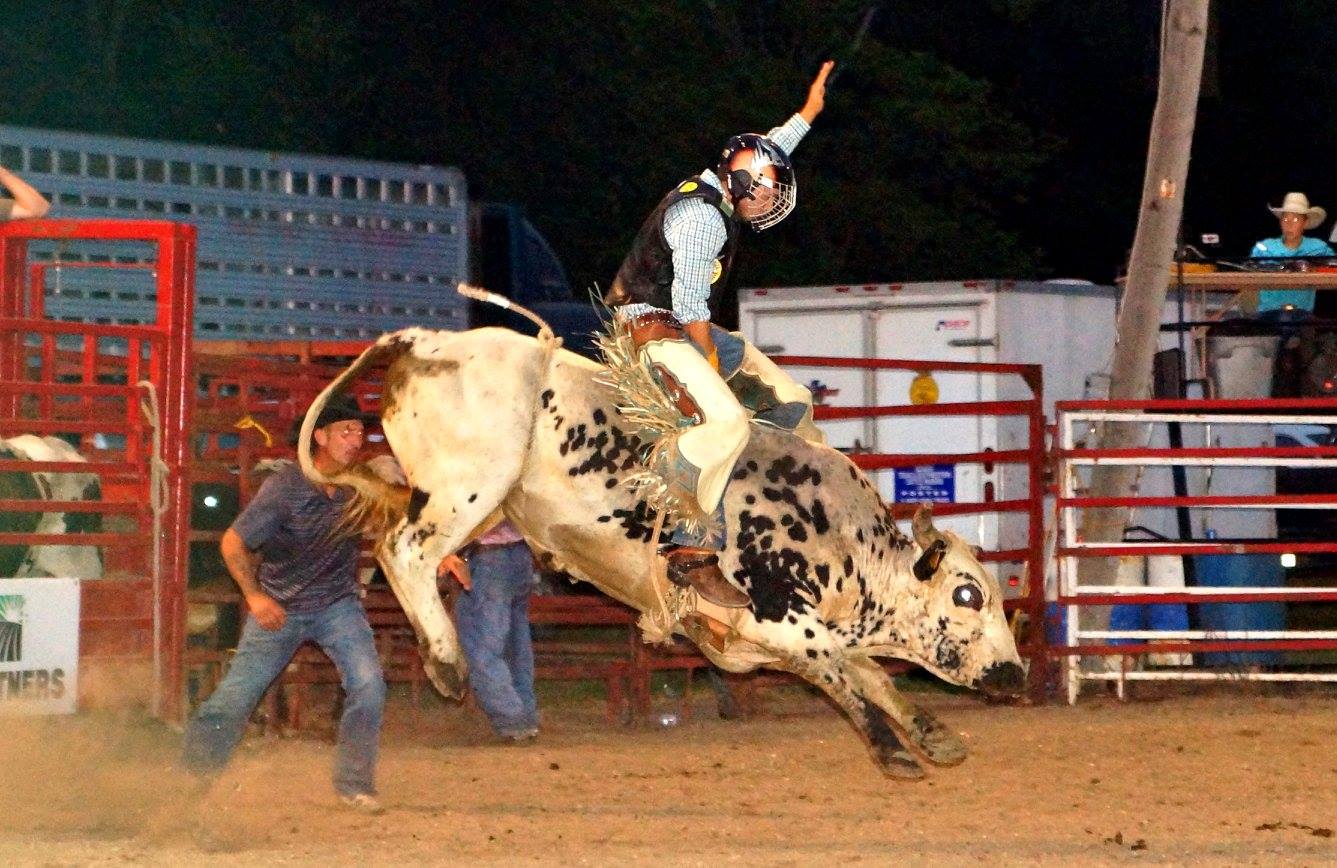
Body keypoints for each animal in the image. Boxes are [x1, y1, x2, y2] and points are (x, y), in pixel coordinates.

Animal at [298, 318, 1016, 781]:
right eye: (967, 593)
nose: (1013, 672)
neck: (844, 541)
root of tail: (426, 340)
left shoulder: (768, 637)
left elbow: (865, 672)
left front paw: (932, 736)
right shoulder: (780, 614)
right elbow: (846, 672)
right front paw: (893, 751)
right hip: (467, 487)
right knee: (403, 550)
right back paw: (446, 662)